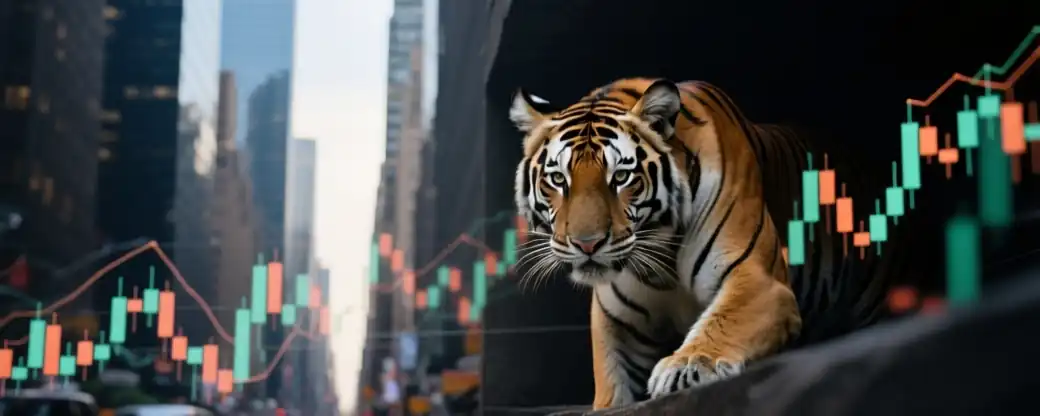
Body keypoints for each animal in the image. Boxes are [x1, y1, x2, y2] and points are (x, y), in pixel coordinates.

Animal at [509, 77, 910, 409]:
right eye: (558, 179)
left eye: (621, 177)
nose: (587, 244)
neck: (661, 262)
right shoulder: (616, 321)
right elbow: (610, 380)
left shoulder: (760, 281)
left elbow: (722, 321)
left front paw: (684, 367)